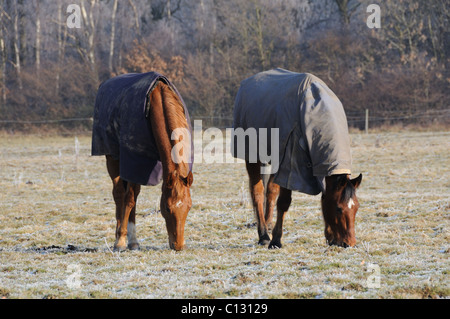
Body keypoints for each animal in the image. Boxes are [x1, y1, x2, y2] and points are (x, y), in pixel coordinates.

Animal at [91, 72, 193, 252]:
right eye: (167, 208)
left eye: (189, 207)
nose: (178, 246)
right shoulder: (135, 162)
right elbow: (129, 199)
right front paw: (120, 240)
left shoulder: (141, 168)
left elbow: (133, 198)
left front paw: (130, 240)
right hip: (113, 158)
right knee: (119, 194)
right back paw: (120, 237)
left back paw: (132, 241)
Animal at [232, 69, 362, 250]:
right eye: (338, 209)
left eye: (356, 208)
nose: (349, 243)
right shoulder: (291, 166)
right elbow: (284, 202)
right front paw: (276, 241)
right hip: (252, 157)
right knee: (257, 192)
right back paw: (264, 235)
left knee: (270, 191)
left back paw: (268, 224)